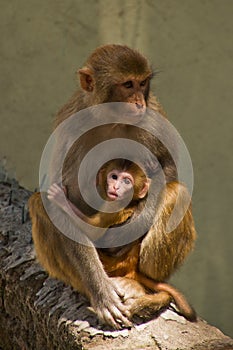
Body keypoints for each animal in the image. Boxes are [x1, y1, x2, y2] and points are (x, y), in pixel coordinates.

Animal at [28, 45, 197, 330]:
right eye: (127, 85)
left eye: (143, 83)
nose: (139, 102)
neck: (111, 118)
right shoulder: (70, 124)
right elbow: (57, 200)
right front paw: (102, 294)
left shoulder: (153, 117)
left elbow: (168, 168)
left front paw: (135, 222)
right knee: (40, 204)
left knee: (178, 192)